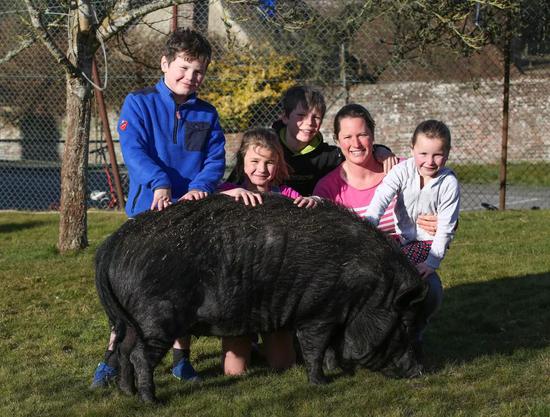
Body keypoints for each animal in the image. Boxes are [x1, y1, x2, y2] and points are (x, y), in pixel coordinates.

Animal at [96, 193, 426, 402]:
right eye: (404, 325)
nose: (420, 371)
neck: (365, 292)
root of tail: (115, 242)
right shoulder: (318, 311)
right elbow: (315, 347)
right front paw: (321, 382)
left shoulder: (334, 313)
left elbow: (331, 346)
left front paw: (337, 370)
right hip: (157, 316)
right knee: (139, 355)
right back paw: (151, 401)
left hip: (133, 318)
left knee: (124, 350)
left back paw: (127, 393)